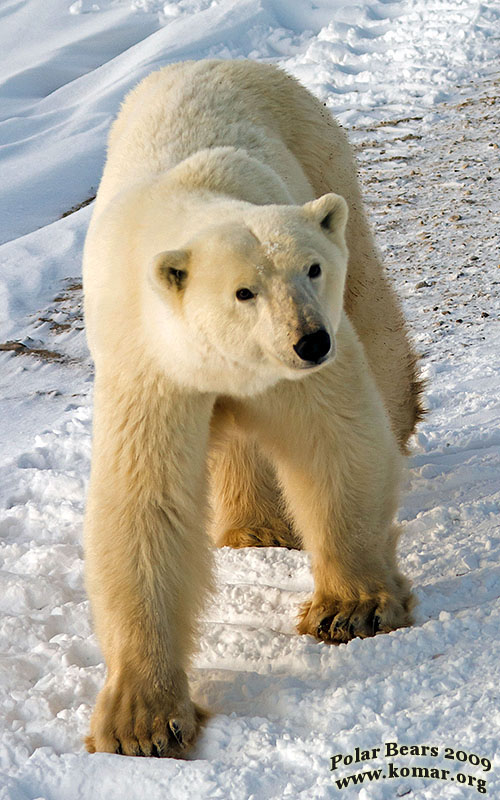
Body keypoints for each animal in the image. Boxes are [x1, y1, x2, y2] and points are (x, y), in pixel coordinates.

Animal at [84, 61, 420, 756]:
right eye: (245, 291)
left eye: (312, 269)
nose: (309, 340)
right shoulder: (151, 366)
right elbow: (147, 502)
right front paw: (142, 723)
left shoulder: (293, 372)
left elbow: (333, 440)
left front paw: (350, 609)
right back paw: (252, 529)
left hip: (324, 162)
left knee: (370, 307)